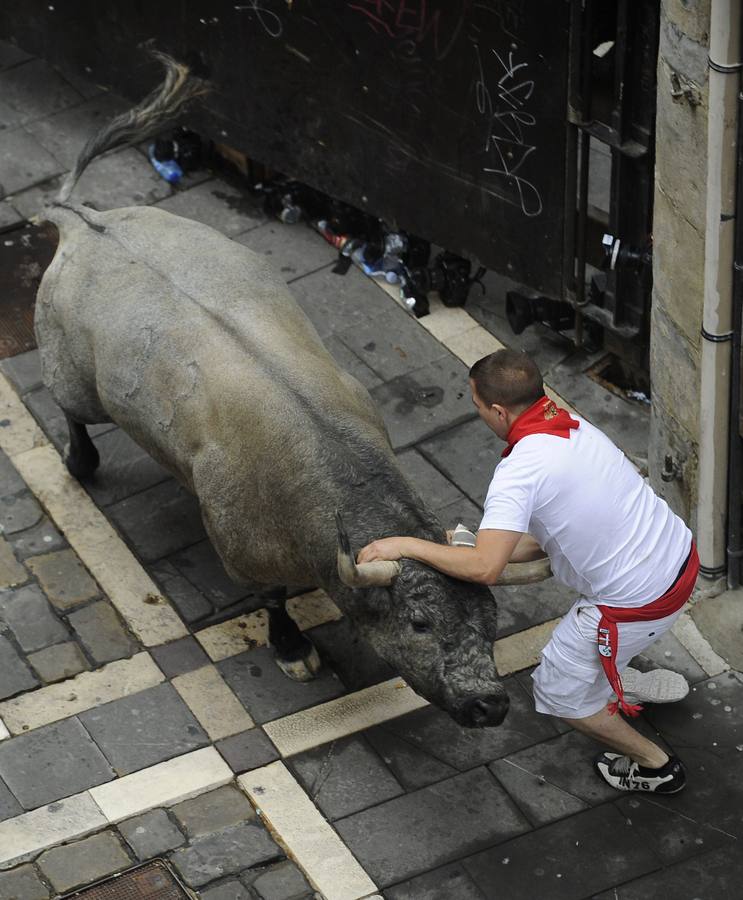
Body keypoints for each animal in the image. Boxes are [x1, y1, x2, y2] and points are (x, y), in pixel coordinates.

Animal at [35, 52, 548, 728]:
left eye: (490, 619)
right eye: (418, 623)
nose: (487, 703)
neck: (333, 470)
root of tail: (87, 222)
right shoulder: (243, 547)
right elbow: (273, 599)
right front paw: (291, 648)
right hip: (70, 373)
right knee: (71, 411)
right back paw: (80, 463)